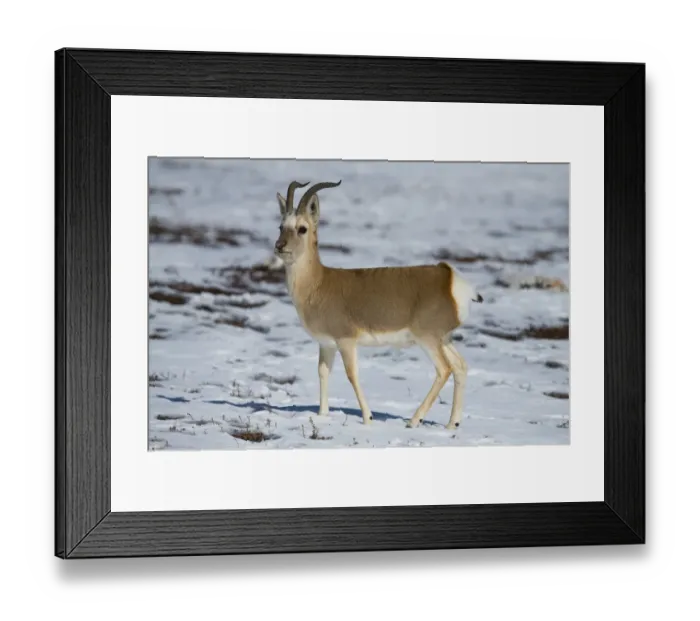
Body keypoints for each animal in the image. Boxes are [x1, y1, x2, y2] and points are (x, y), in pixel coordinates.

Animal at [273, 180, 483, 431]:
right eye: (281, 226)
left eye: (302, 228)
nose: (279, 246)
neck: (319, 283)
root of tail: (448, 276)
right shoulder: (327, 344)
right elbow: (323, 372)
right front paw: (322, 415)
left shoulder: (346, 341)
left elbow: (352, 374)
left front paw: (368, 417)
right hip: (444, 339)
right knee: (460, 367)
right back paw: (452, 424)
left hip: (428, 339)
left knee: (444, 370)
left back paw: (414, 420)